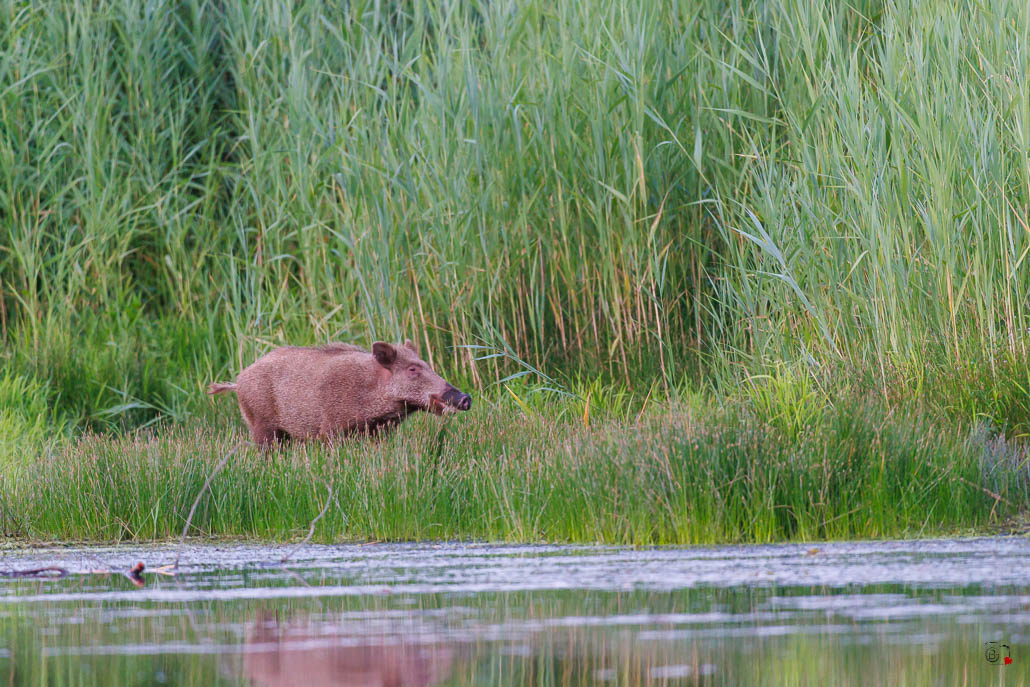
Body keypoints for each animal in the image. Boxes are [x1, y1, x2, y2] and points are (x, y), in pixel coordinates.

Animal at [208, 340, 471, 446]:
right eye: (413, 369)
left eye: (426, 364)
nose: (466, 398)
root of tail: (238, 381)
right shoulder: (332, 430)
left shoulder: (378, 433)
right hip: (262, 425)